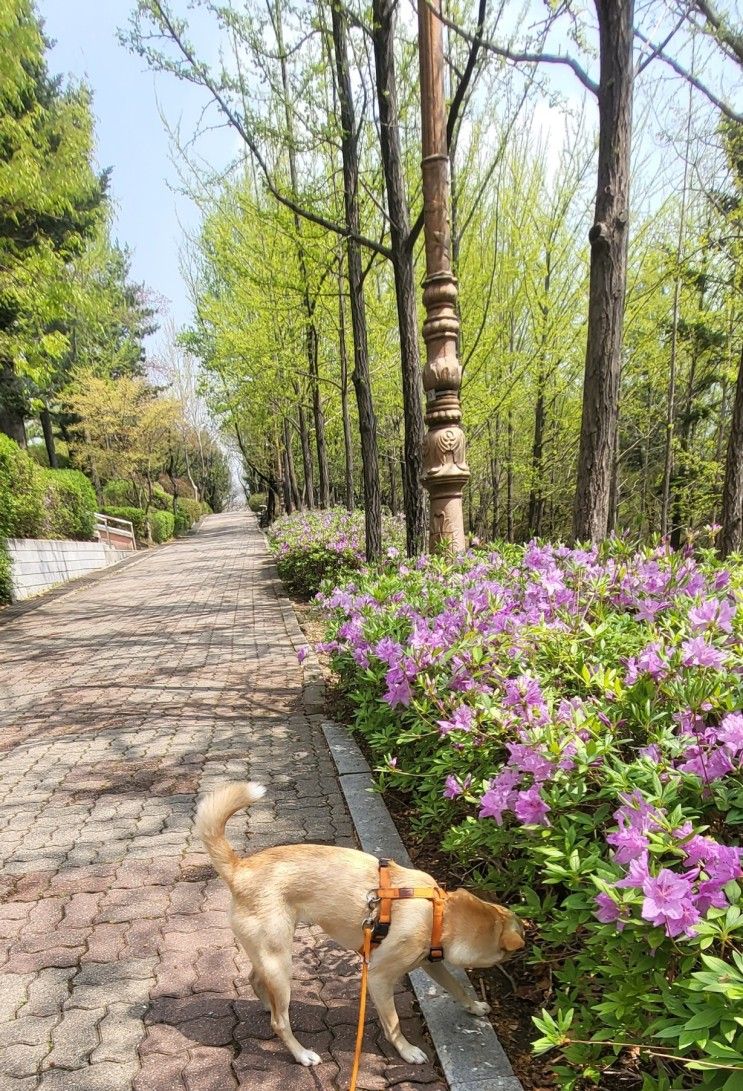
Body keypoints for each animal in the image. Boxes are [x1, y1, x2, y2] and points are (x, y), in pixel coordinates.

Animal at [194, 781, 523, 1069]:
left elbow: (456, 987)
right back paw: (301, 1053)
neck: (439, 913)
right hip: (279, 961)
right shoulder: (378, 977)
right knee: (279, 1022)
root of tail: (239, 870)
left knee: (256, 980)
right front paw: (406, 1050)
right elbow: (393, 1023)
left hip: (269, 955)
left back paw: (267, 1004)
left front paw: (474, 1006)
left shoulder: (431, 963)